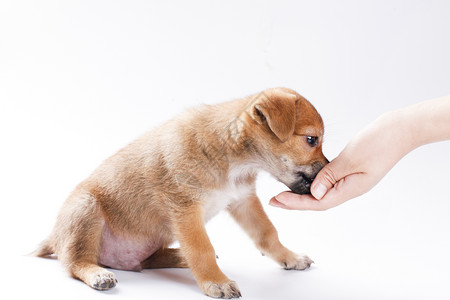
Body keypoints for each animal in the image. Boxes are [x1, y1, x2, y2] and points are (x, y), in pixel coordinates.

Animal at [34, 86, 326, 298]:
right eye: (311, 139)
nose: (327, 170)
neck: (231, 154)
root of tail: (53, 238)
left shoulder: (243, 200)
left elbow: (267, 233)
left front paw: (290, 257)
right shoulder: (185, 209)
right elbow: (201, 248)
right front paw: (216, 282)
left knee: (147, 260)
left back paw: (177, 256)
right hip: (86, 208)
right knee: (74, 262)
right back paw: (97, 274)